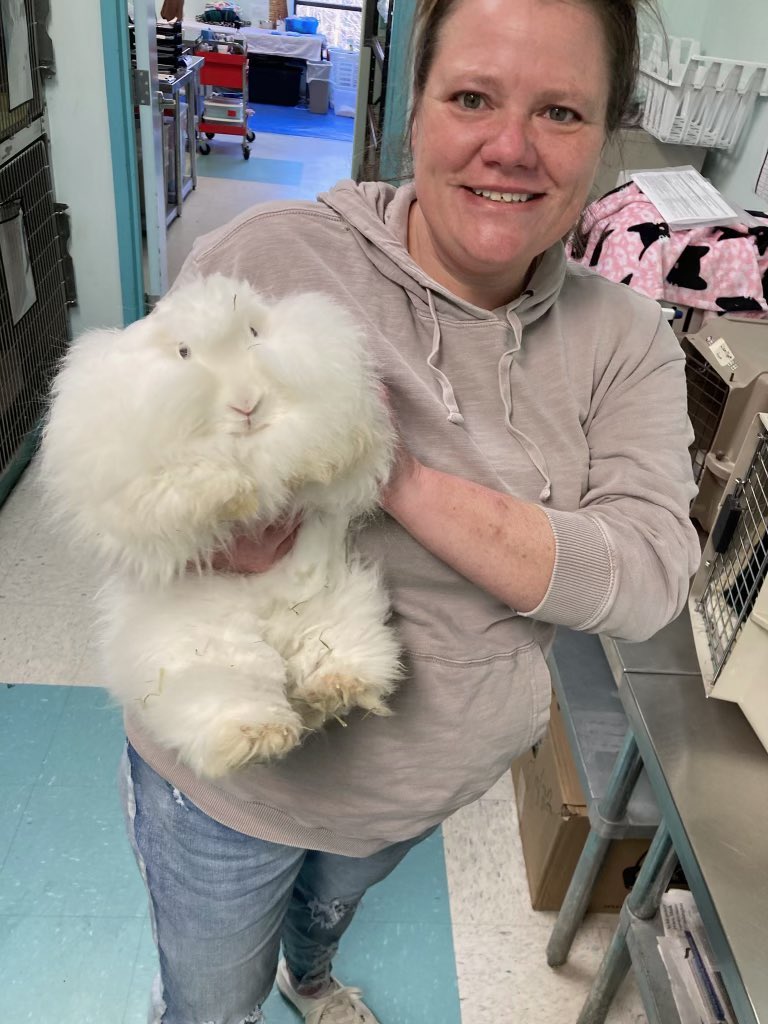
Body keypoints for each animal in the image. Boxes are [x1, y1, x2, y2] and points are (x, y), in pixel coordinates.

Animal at [41, 276, 403, 778]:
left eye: (254, 331)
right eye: (184, 353)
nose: (247, 404)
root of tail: (276, 634)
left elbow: (317, 438)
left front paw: (305, 464)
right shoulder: (128, 477)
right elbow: (176, 483)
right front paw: (233, 491)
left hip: (342, 607)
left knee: (330, 660)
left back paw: (334, 688)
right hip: (204, 651)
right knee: (236, 692)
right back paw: (258, 734)